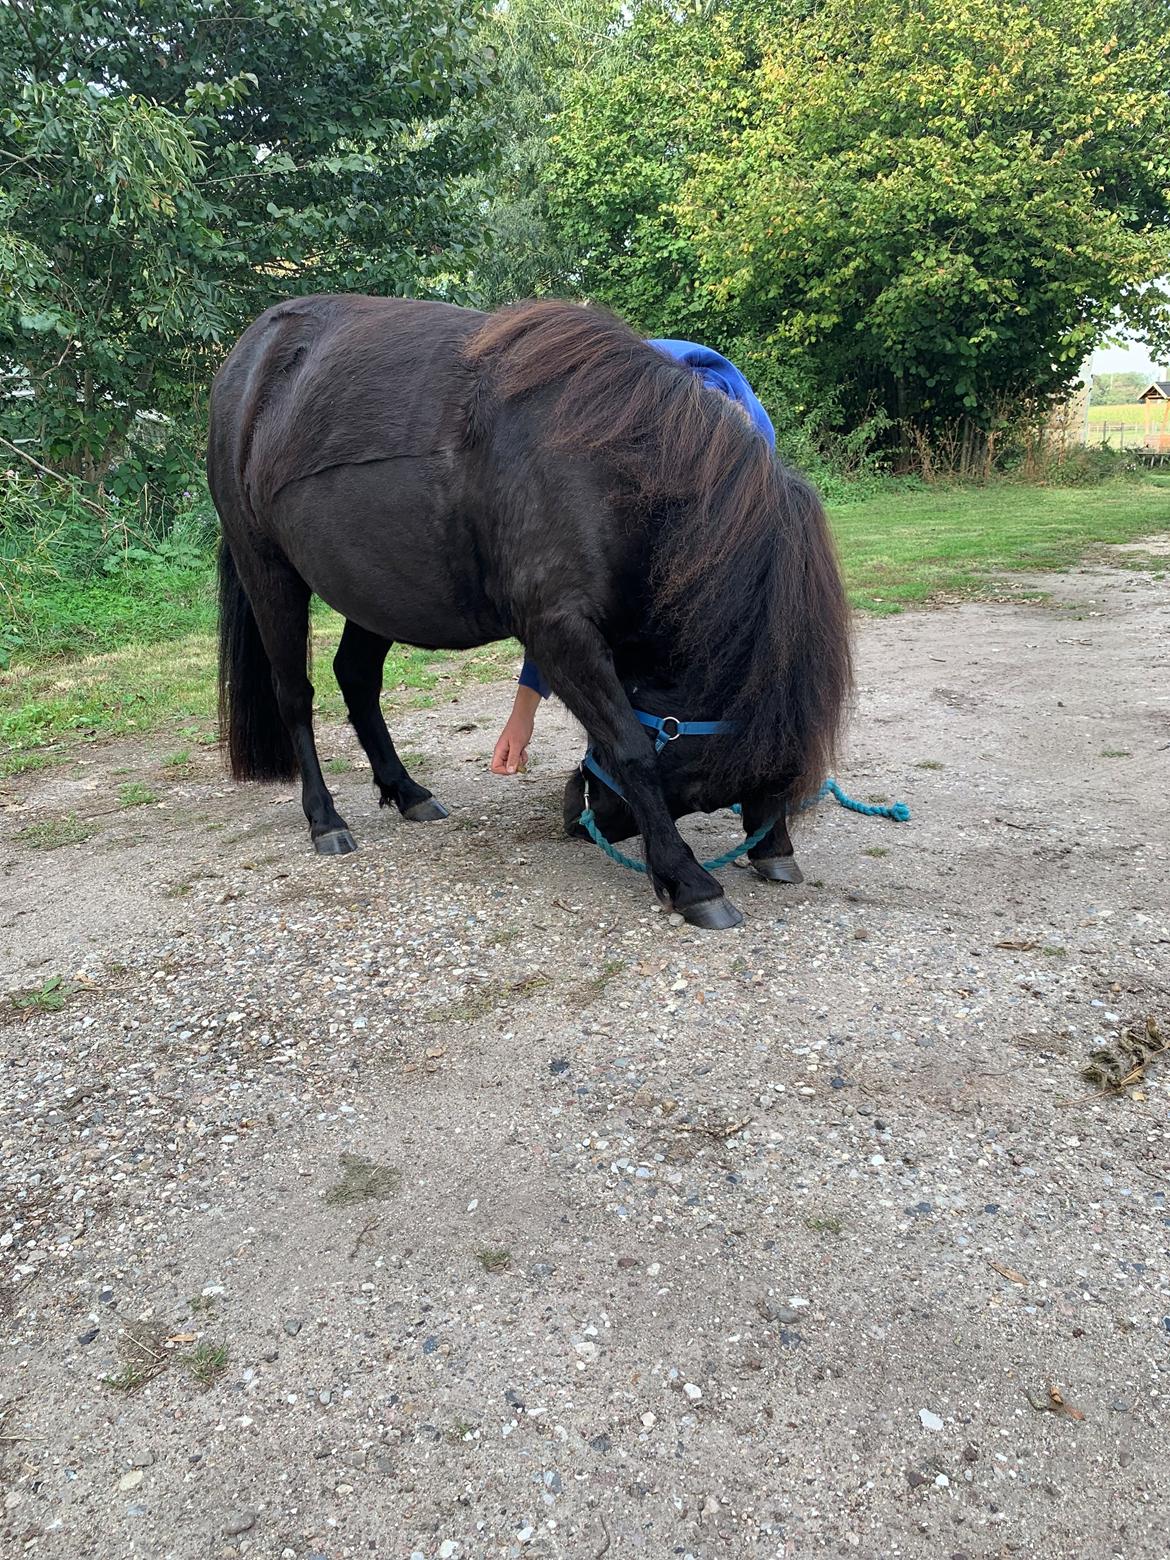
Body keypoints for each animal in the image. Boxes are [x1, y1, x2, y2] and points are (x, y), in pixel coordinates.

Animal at [210, 293, 854, 923]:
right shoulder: (559, 631)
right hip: (268, 570)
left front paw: (770, 849)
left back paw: (408, 792)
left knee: (357, 678)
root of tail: (249, 359)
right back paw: (325, 820)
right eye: (700, 789)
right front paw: (689, 879)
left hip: (375, 588)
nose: (576, 812)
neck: (613, 473)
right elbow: (631, 747)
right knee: (296, 696)